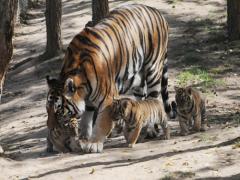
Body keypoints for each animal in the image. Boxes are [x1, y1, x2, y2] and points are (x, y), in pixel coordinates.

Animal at [60, 4, 176, 152]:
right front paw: (83, 138)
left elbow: (102, 122)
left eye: (59, 111)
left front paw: (94, 144)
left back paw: (150, 131)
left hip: (153, 69)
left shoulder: (108, 98)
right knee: (141, 99)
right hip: (138, 77)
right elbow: (86, 117)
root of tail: (157, 12)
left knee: (153, 99)